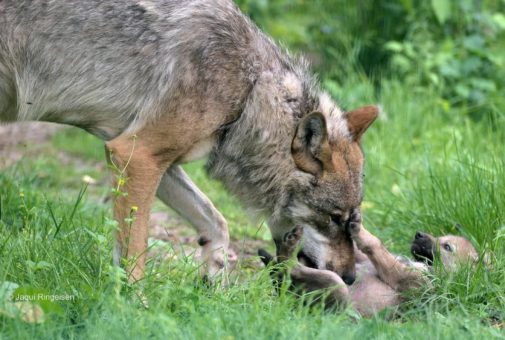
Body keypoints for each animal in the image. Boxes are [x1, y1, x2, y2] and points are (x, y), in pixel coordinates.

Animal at [0, 0, 378, 282]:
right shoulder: (137, 155)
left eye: (352, 220)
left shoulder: (149, 160)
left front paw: (213, 283)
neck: (249, 87)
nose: (349, 278)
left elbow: (217, 223)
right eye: (334, 218)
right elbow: (135, 250)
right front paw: (133, 305)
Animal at [262, 218, 478, 316]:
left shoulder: (413, 282)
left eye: (447, 247)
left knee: (289, 270)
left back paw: (286, 254)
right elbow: (358, 252)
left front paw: (360, 230)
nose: (419, 234)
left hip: (336, 291)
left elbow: (375, 245)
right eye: (442, 238)